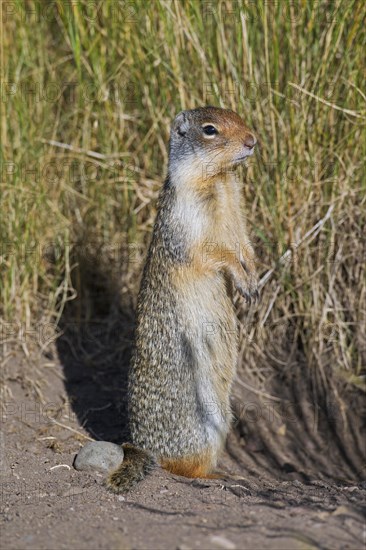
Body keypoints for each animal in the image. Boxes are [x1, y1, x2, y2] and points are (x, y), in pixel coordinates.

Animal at [107, 105, 258, 494]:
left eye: (239, 115)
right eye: (210, 129)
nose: (252, 140)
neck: (219, 180)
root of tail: (142, 446)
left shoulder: (237, 212)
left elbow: (245, 245)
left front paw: (252, 279)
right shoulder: (189, 220)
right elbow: (213, 253)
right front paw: (241, 277)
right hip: (203, 421)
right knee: (183, 467)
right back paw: (219, 476)